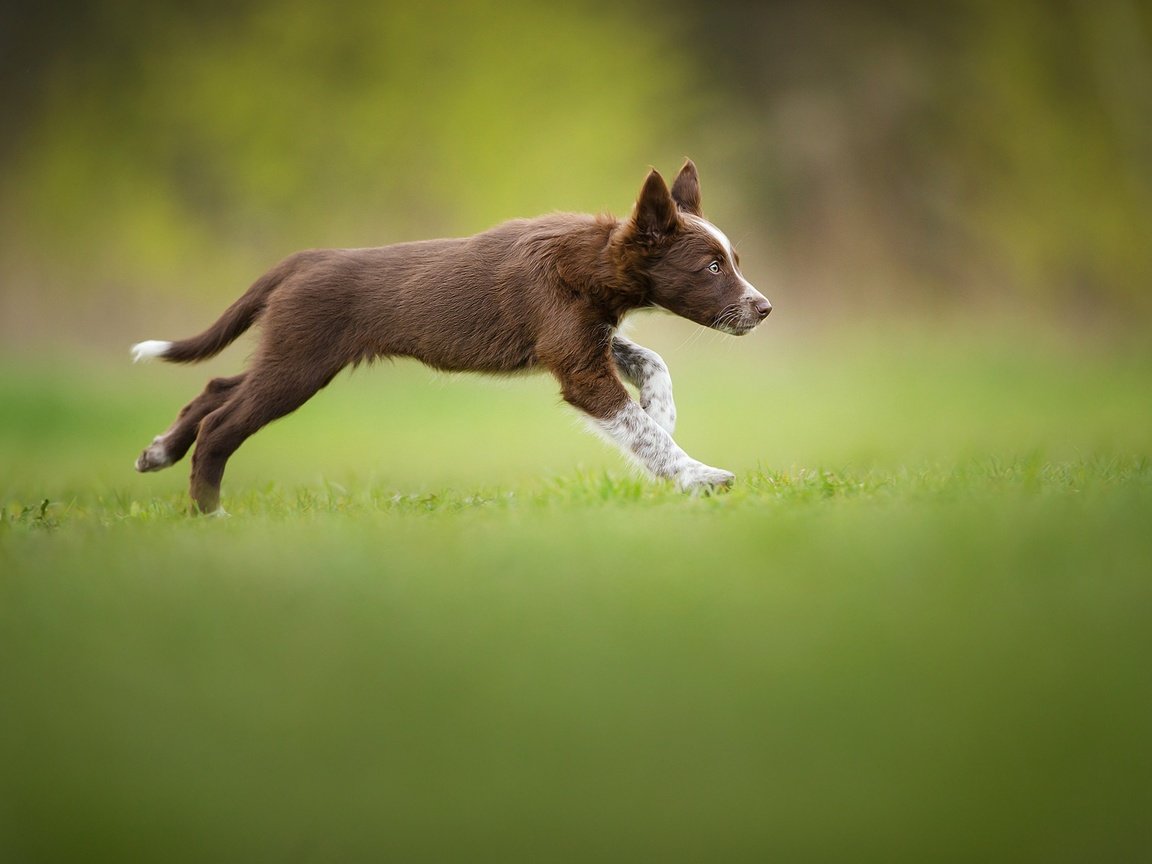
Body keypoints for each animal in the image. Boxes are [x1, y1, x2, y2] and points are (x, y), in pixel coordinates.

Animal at [130, 161, 769, 513]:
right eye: (713, 267)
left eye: (735, 261)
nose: (764, 309)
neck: (591, 259)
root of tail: (305, 259)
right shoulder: (577, 364)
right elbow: (641, 432)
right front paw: (698, 475)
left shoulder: (585, 339)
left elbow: (651, 362)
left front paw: (663, 410)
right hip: (300, 362)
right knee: (222, 423)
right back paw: (210, 515)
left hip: (287, 350)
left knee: (218, 385)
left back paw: (159, 451)